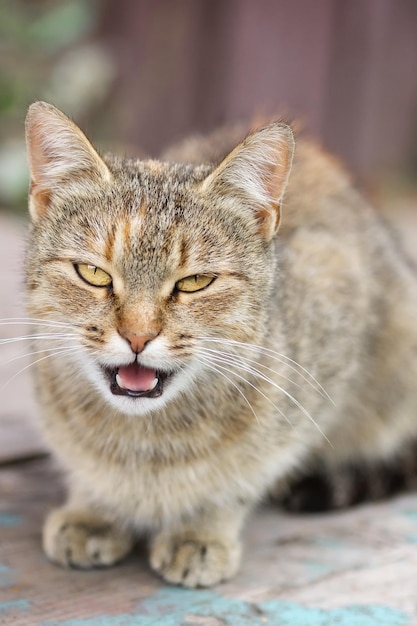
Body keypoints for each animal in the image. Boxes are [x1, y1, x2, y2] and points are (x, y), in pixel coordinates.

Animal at [23, 100, 417, 584]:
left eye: (195, 282)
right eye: (93, 273)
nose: (138, 336)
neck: (143, 442)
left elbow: (240, 478)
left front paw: (201, 530)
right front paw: (93, 510)